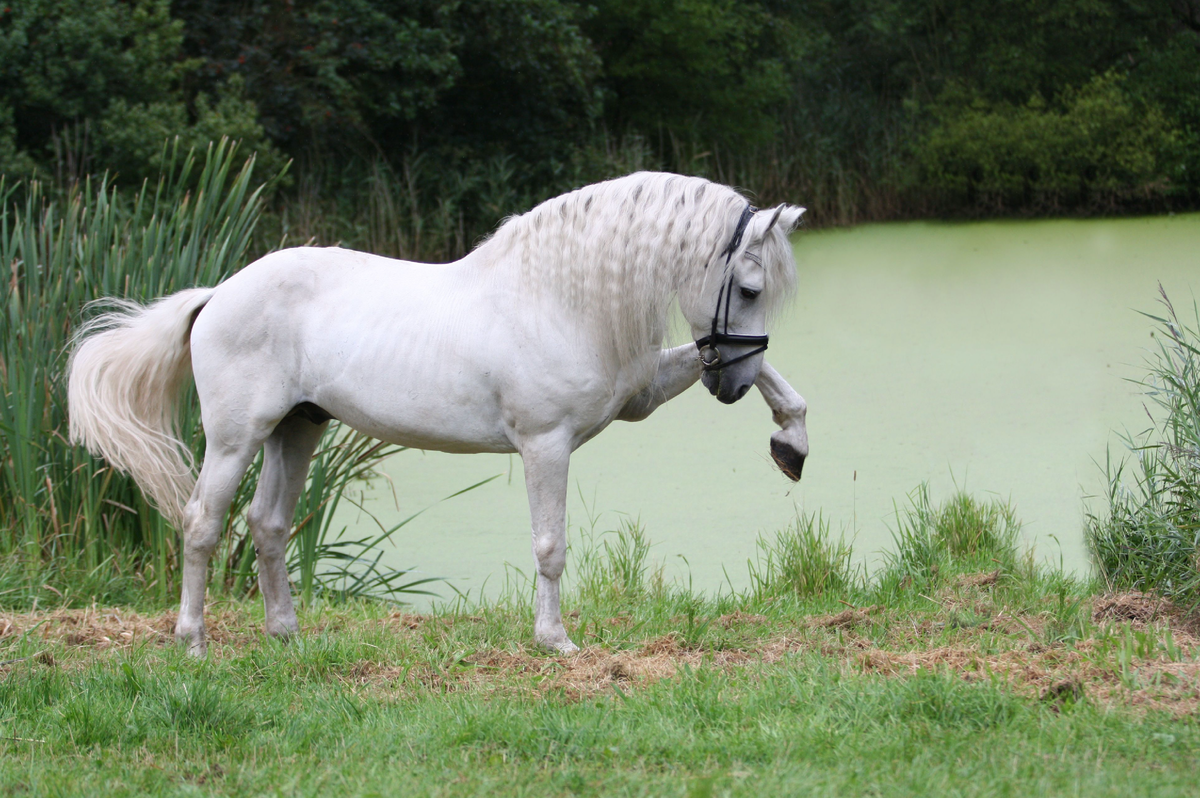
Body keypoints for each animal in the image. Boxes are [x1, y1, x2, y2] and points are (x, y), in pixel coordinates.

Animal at [70, 171, 811, 652]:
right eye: (749, 289)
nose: (730, 384)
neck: (555, 297)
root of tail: (217, 293)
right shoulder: (546, 443)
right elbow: (550, 546)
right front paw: (555, 641)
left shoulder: (640, 397)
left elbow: (779, 382)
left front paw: (792, 440)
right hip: (236, 438)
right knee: (202, 522)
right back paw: (192, 641)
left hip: (296, 429)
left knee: (268, 524)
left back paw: (286, 635)